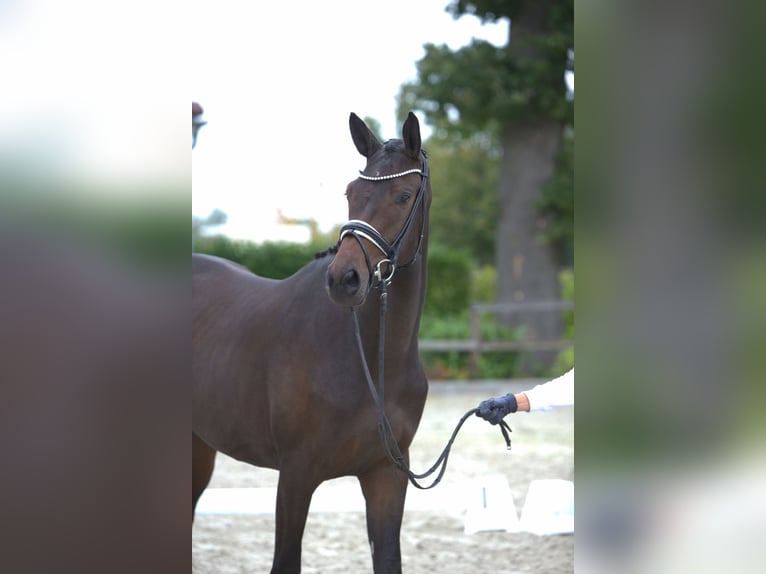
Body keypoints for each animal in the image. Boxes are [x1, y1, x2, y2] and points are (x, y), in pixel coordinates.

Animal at [192, 111, 432, 573]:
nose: (344, 279)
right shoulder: (296, 475)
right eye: (351, 192)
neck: (372, 360)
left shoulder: (387, 474)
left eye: (403, 195)